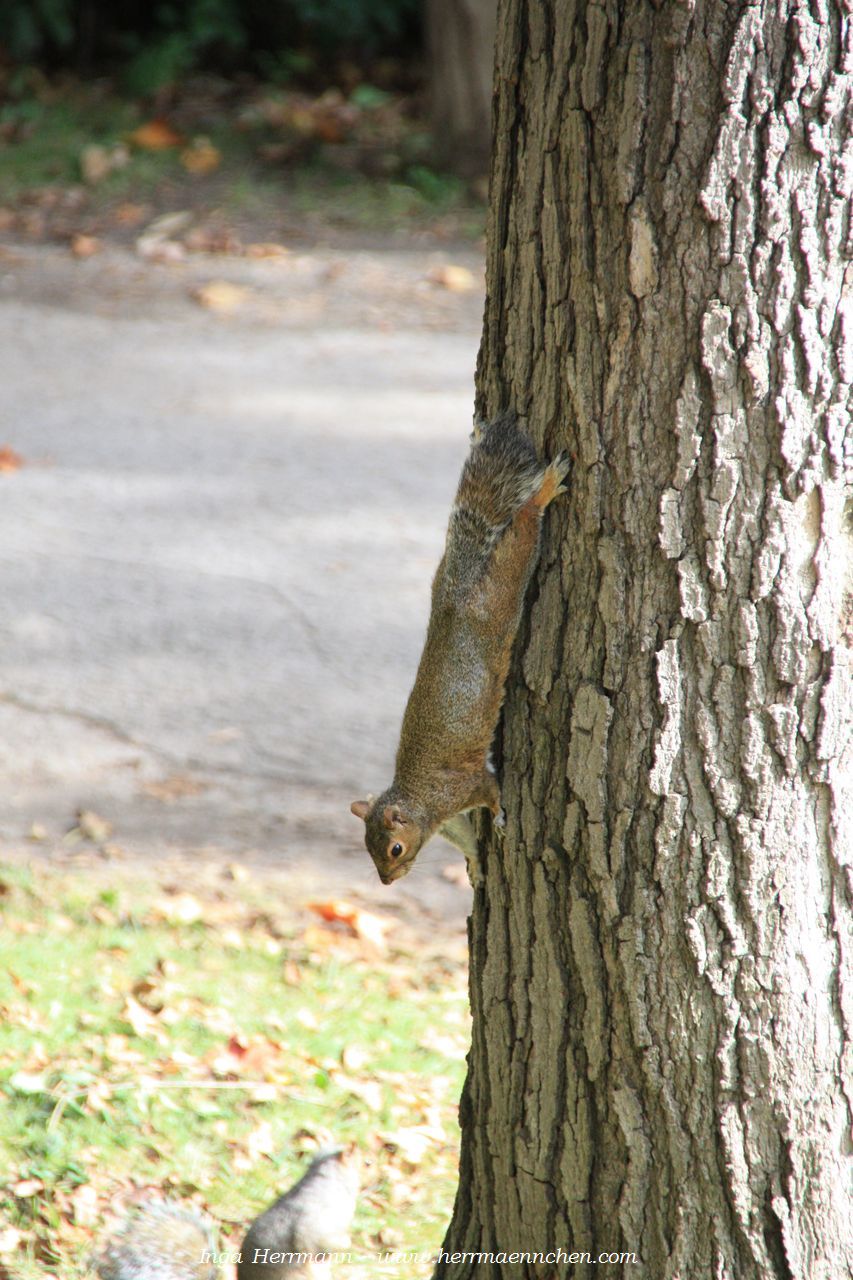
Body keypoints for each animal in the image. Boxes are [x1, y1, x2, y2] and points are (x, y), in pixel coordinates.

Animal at [348, 414, 568, 885]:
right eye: (366, 848)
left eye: (394, 848)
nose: (387, 881)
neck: (417, 795)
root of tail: (458, 592)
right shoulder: (450, 821)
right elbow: (467, 837)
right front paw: (477, 865)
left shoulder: (460, 789)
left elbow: (491, 791)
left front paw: (501, 818)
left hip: (499, 596)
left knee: (522, 533)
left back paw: (543, 490)